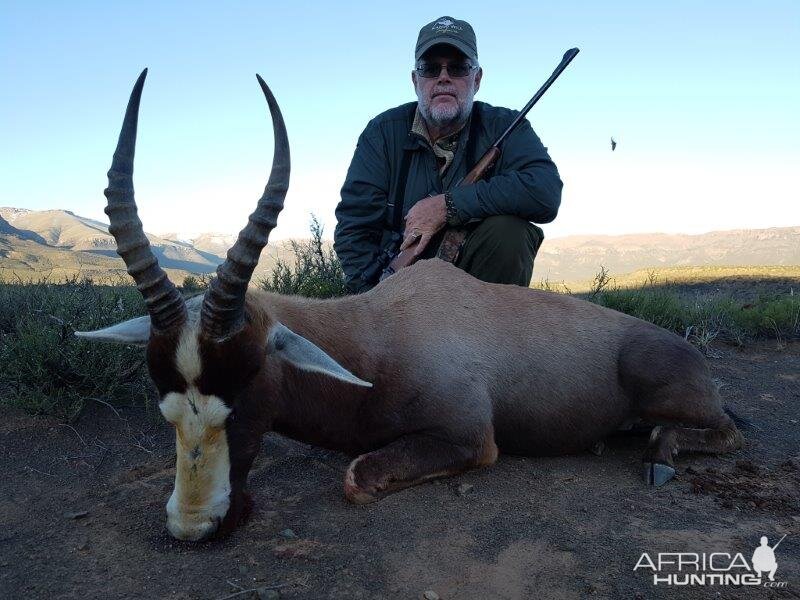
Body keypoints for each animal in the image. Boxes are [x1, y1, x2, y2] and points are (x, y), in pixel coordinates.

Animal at [79, 71, 744, 544]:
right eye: (166, 409)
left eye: (241, 396)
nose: (193, 528)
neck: (379, 333)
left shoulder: (471, 439)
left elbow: (356, 478)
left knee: (724, 431)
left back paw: (659, 455)